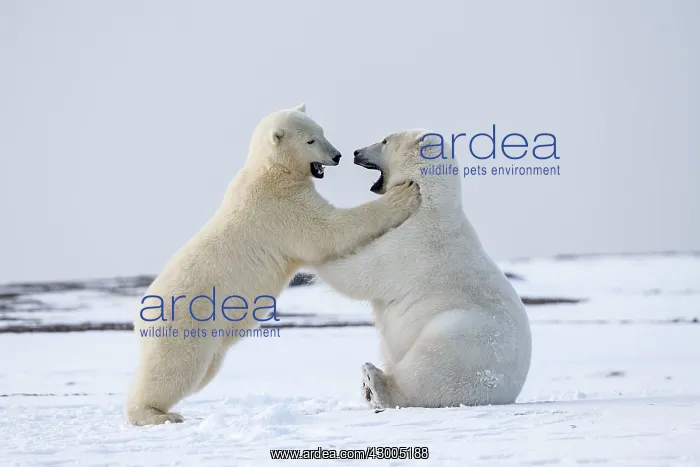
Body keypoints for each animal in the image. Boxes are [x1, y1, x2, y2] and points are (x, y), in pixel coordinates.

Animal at [124, 105, 421, 425]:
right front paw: (405, 194)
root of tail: (140, 315)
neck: (272, 170)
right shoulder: (282, 207)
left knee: (203, 370)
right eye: (310, 140)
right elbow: (328, 231)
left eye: (322, 132)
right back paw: (156, 413)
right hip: (187, 322)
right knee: (177, 368)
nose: (337, 156)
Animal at [314, 129, 532, 409]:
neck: (428, 201)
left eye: (385, 140)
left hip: (463, 336)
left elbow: (360, 273)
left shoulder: (411, 242)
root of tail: (507, 391)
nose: (355, 152)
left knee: (428, 366)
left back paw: (375, 382)